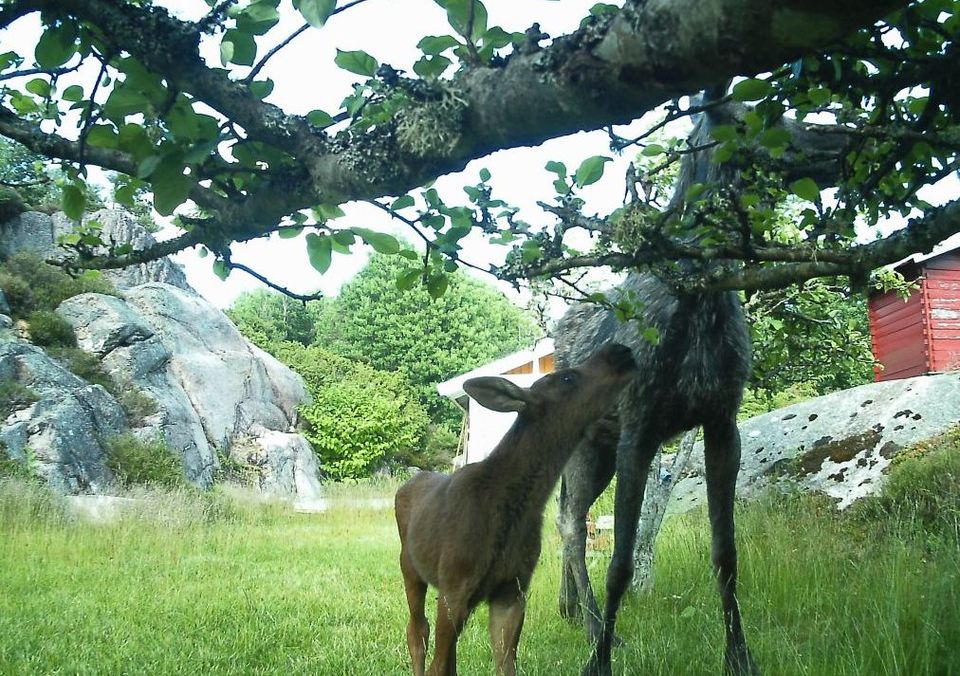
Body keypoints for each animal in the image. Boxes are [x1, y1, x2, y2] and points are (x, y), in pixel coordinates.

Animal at [396, 344, 636, 676]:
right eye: (567, 377)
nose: (619, 350)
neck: (514, 509)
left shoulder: (512, 588)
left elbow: (505, 664)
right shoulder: (455, 584)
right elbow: (438, 665)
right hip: (410, 567)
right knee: (417, 631)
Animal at [556, 87, 756, 672]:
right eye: (734, 122)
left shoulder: (722, 420)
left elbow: (726, 552)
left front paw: (740, 655)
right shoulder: (638, 427)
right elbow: (621, 560)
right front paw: (599, 658)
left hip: (598, 450)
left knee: (566, 520)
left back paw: (571, 611)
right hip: (586, 448)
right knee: (571, 524)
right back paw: (592, 626)